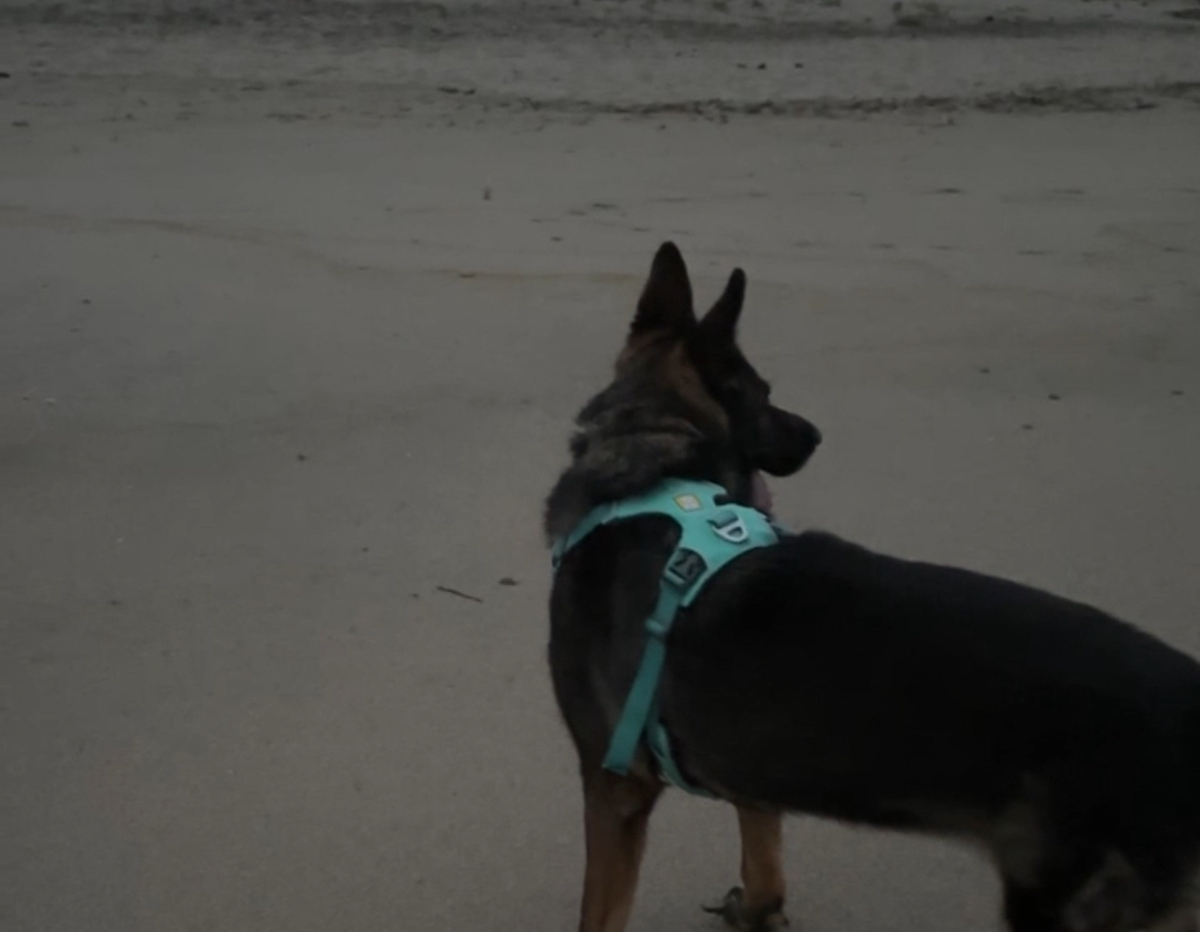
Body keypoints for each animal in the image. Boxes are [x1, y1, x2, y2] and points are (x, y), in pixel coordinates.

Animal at [542, 242, 1200, 930]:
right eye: (766, 394)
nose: (815, 435)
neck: (658, 457)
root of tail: (1187, 700)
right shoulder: (750, 770)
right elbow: (764, 860)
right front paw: (757, 910)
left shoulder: (615, 787)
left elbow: (600, 912)